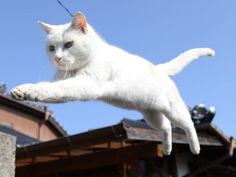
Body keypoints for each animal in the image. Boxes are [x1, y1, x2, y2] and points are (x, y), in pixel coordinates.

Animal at [11, 11, 215, 155]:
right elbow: (48, 85)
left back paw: (195, 148)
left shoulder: (85, 83)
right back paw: (166, 149)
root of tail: (159, 68)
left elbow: (54, 88)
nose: (57, 58)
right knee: (166, 127)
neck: (75, 69)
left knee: (188, 123)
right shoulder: (62, 79)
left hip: (174, 110)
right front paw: (22, 90)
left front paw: (35, 92)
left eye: (69, 44)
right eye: (51, 48)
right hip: (152, 114)